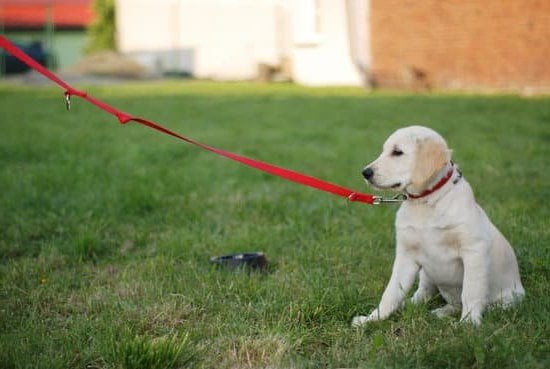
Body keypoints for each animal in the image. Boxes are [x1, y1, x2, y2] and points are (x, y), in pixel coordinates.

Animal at [354, 126, 528, 324]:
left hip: (511, 298)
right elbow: (391, 292)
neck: (426, 201)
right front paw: (372, 318)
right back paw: (422, 308)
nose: (365, 172)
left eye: (397, 152)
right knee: (424, 294)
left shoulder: (474, 252)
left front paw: (468, 324)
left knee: (481, 304)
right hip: (426, 273)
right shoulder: (406, 255)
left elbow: (470, 292)